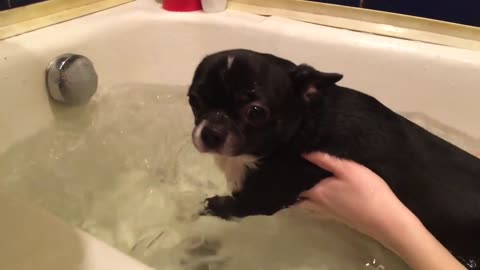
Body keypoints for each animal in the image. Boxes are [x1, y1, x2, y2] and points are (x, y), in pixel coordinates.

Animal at [187, 49, 480, 264]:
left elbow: (225, 206)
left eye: (256, 112)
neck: (308, 120)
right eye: (194, 100)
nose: (211, 132)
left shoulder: (262, 199)